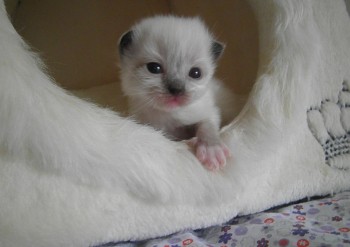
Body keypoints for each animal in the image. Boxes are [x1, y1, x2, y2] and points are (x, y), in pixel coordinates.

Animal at [119, 15, 231, 170]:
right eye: (154, 68)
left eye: (195, 73)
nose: (176, 90)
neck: (168, 115)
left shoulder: (208, 112)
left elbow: (207, 126)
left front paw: (211, 151)